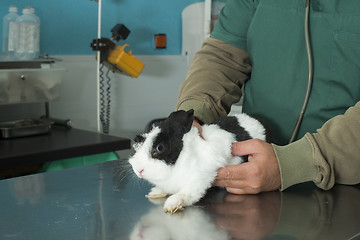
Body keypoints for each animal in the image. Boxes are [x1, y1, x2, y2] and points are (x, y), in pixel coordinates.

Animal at [128, 109, 266, 213]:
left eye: (160, 147)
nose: (138, 170)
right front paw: (156, 192)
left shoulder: (201, 177)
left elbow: (188, 192)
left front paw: (172, 204)